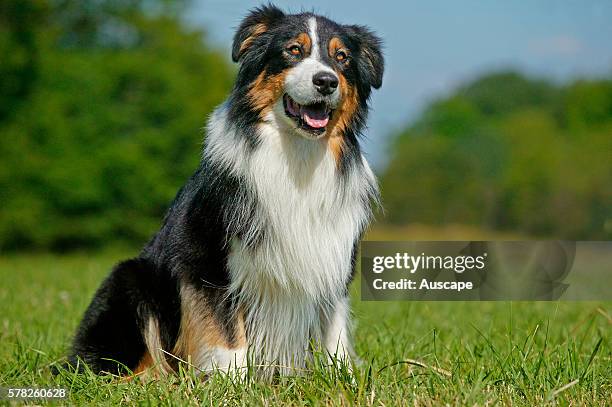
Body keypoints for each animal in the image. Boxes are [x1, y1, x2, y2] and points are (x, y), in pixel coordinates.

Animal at [67, 3, 382, 380]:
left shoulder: (331, 258)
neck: (297, 155)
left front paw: (342, 376)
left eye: (342, 57)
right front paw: (231, 381)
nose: (326, 81)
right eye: (293, 50)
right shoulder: (207, 260)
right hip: (130, 278)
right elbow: (226, 331)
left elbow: (334, 329)